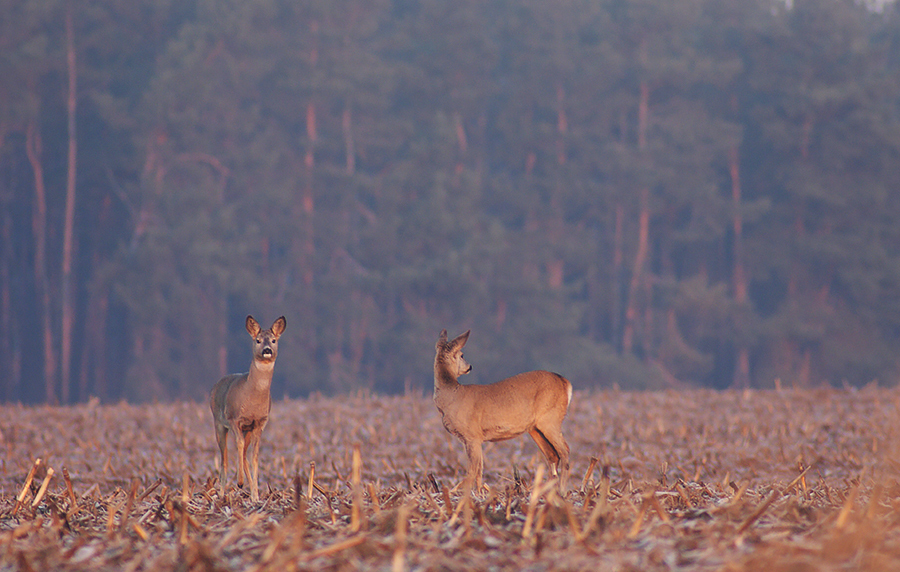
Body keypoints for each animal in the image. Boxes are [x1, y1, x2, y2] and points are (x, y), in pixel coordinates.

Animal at [208, 318, 284, 500]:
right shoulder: (234, 419)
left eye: (273, 340)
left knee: (243, 456)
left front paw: (255, 495)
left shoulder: (259, 423)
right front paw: (240, 482)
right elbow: (239, 445)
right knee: (224, 458)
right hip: (219, 423)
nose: (267, 350)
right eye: (257, 340)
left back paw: (252, 494)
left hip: (246, 429)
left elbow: (254, 456)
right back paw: (222, 494)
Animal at [432, 328, 572, 494]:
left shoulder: (473, 435)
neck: (451, 397)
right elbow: (479, 471)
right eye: (462, 355)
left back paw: (562, 491)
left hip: (551, 418)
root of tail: (565, 382)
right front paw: (479, 493)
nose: (470, 366)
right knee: (552, 455)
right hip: (535, 427)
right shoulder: (472, 439)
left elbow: (472, 470)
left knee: (564, 451)